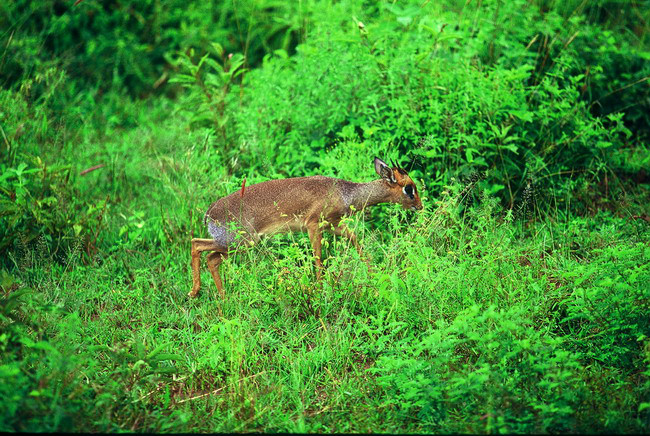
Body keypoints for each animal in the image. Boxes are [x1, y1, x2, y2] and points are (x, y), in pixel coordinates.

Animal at [189, 157, 420, 296]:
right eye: (409, 188)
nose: (420, 205)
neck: (345, 193)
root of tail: (209, 214)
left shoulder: (333, 225)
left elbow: (355, 238)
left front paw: (374, 272)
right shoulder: (312, 225)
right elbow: (318, 258)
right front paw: (319, 288)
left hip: (235, 244)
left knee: (207, 254)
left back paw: (214, 295)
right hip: (241, 242)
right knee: (199, 247)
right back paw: (200, 293)